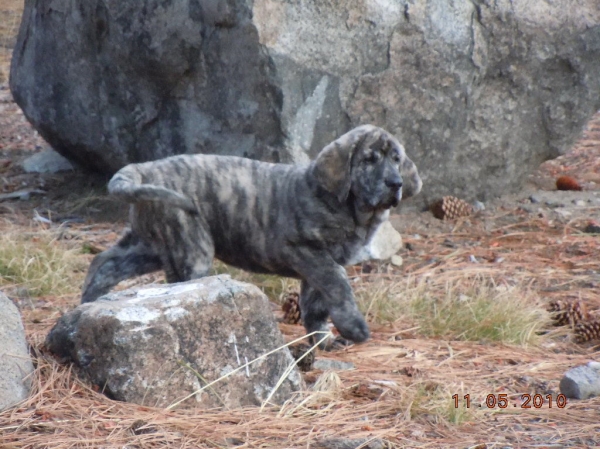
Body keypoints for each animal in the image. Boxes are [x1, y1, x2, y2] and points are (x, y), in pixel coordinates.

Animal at [82, 126, 424, 346]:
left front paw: (323, 340)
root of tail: (144, 169)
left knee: (104, 263)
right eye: (369, 159)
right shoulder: (306, 251)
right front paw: (354, 328)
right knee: (177, 286)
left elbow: (316, 304)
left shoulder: (318, 265)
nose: (395, 183)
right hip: (189, 246)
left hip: (147, 244)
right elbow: (338, 286)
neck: (349, 207)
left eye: (396, 159)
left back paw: (87, 305)